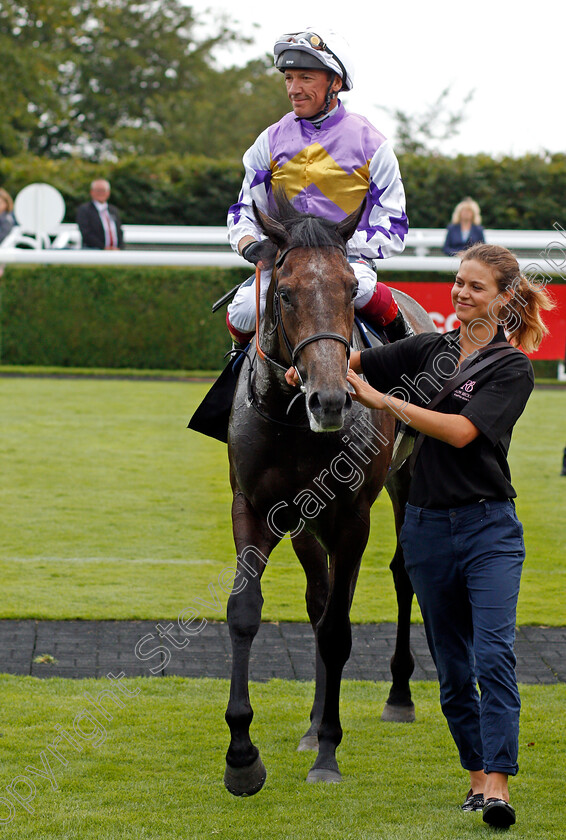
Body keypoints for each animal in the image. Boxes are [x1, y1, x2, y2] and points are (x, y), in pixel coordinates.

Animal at [222, 194, 434, 796]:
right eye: (285, 292)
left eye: (348, 287)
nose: (332, 399)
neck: (294, 421)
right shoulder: (256, 507)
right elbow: (246, 611)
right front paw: (242, 756)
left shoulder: (352, 517)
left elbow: (338, 630)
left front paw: (328, 756)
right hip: (306, 522)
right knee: (319, 600)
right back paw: (313, 725)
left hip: (405, 479)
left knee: (402, 574)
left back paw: (397, 697)